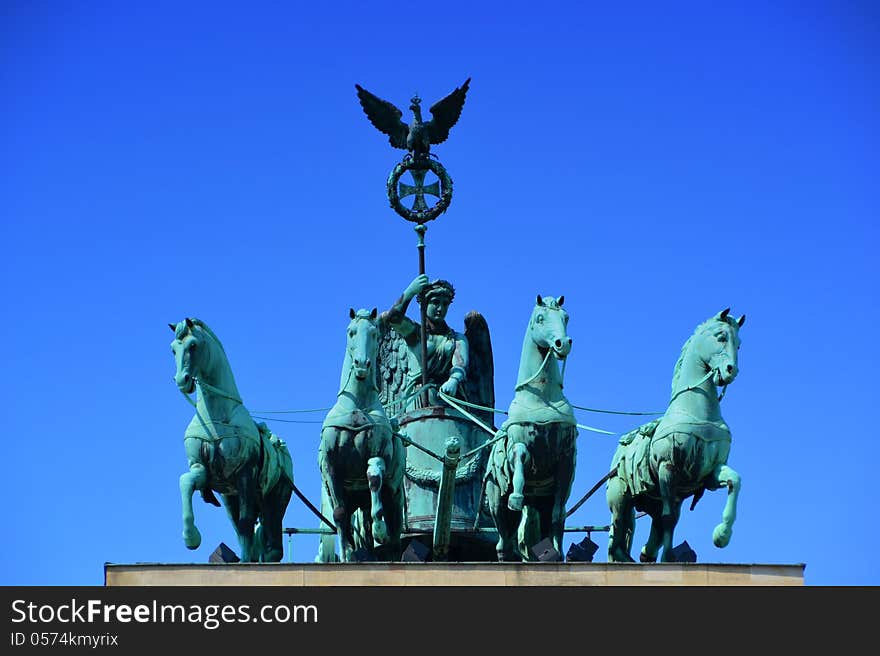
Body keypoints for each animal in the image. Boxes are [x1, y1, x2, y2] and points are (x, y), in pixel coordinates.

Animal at [170, 316, 294, 560]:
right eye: (173, 349)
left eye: (193, 345)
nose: (182, 380)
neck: (217, 416)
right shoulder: (203, 470)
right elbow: (185, 481)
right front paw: (191, 537)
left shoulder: (246, 473)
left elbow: (246, 525)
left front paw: (245, 562)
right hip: (230, 498)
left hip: (275, 499)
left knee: (271, 543)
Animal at [316, 310, 406, 560]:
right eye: (351, 332)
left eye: (374, 333)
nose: (361, 364)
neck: (357, 405)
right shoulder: (331, 466)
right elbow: (339, 515)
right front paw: (346, 555)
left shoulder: (379, 453)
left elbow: (373, 476)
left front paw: (379, 529)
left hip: (394, 493)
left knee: (395, 531)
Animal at [482, 294, 576, 560]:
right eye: (540, 318)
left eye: (566, 317)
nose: (562, 343)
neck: (541, 398)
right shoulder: (519, 446)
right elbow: (521, 455)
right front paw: (516, 494)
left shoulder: (565, 460)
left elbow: (557, 517)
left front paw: (557, 553)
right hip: (497, 505)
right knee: (503, 544)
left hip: (539, 503)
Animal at [608, 310, 744, 560]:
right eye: (720, 337)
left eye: (739, 344)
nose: (731, 371)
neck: (697, 411)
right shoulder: (667, 468)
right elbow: (669, 519)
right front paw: (669, 560)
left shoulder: (709, 472)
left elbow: (735, 481)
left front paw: (722, 535)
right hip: (621, 501)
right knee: (618, 541)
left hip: (655, 500)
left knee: (652, 537)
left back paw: (645, 555)